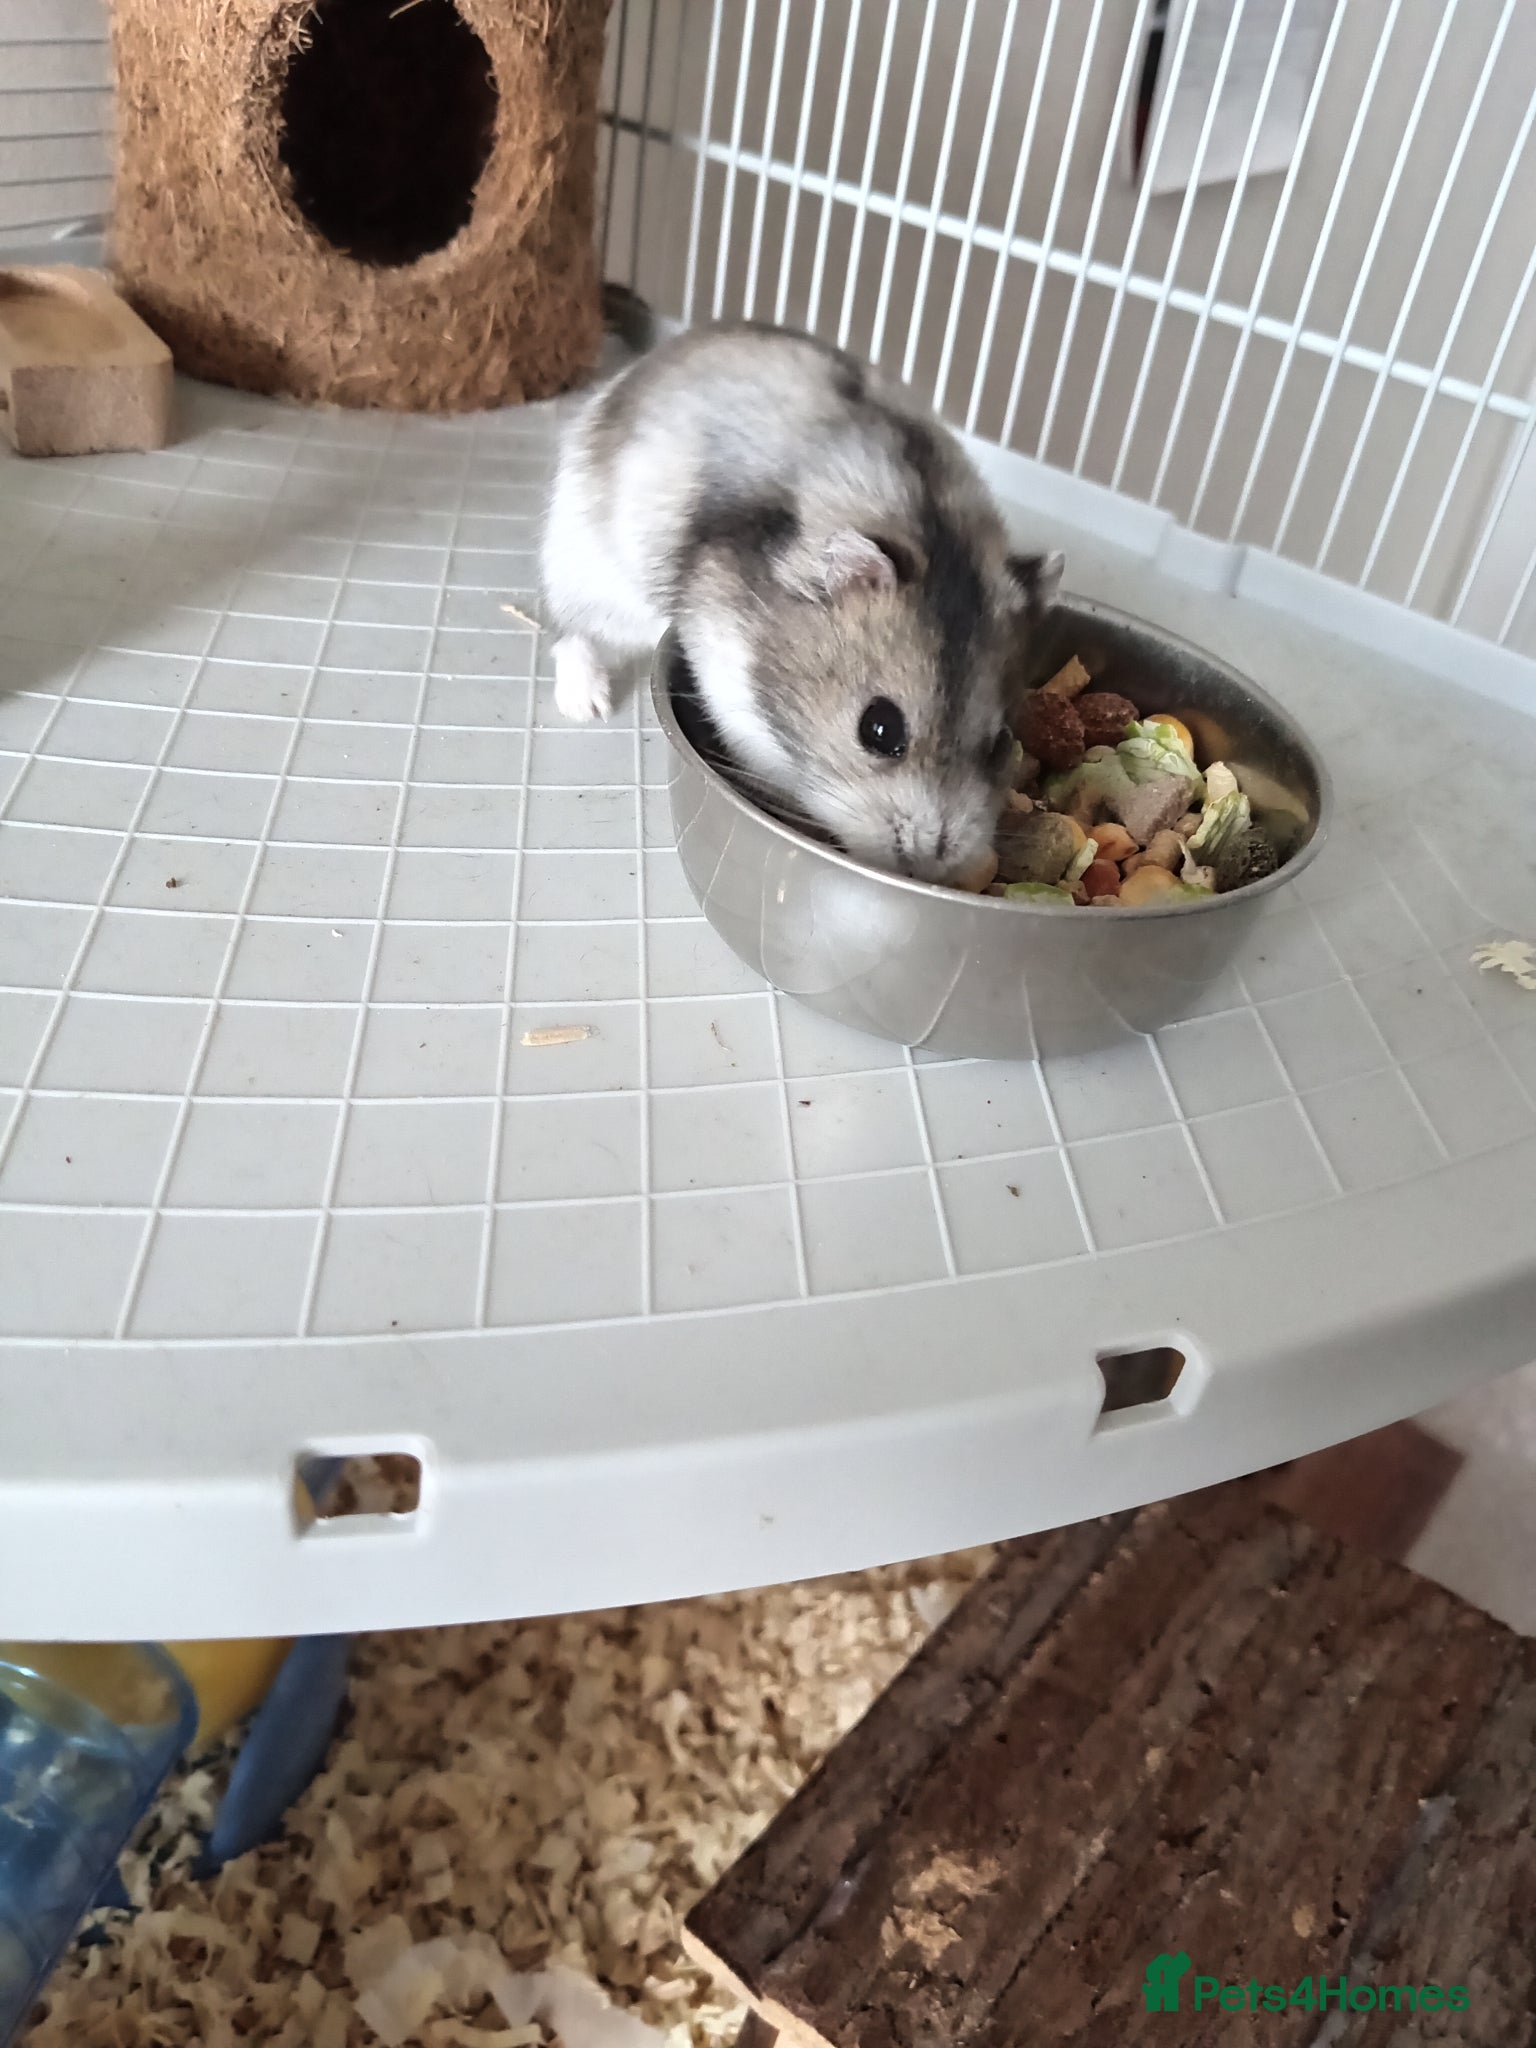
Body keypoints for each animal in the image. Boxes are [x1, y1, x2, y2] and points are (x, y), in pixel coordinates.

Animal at [540, 323, 1062, 886]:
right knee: (572, 637)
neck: (930, 528)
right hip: (591, 579)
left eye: (1002, 744)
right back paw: (586, 705)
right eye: (879, 729)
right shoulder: (725, 668)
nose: (929, 861)